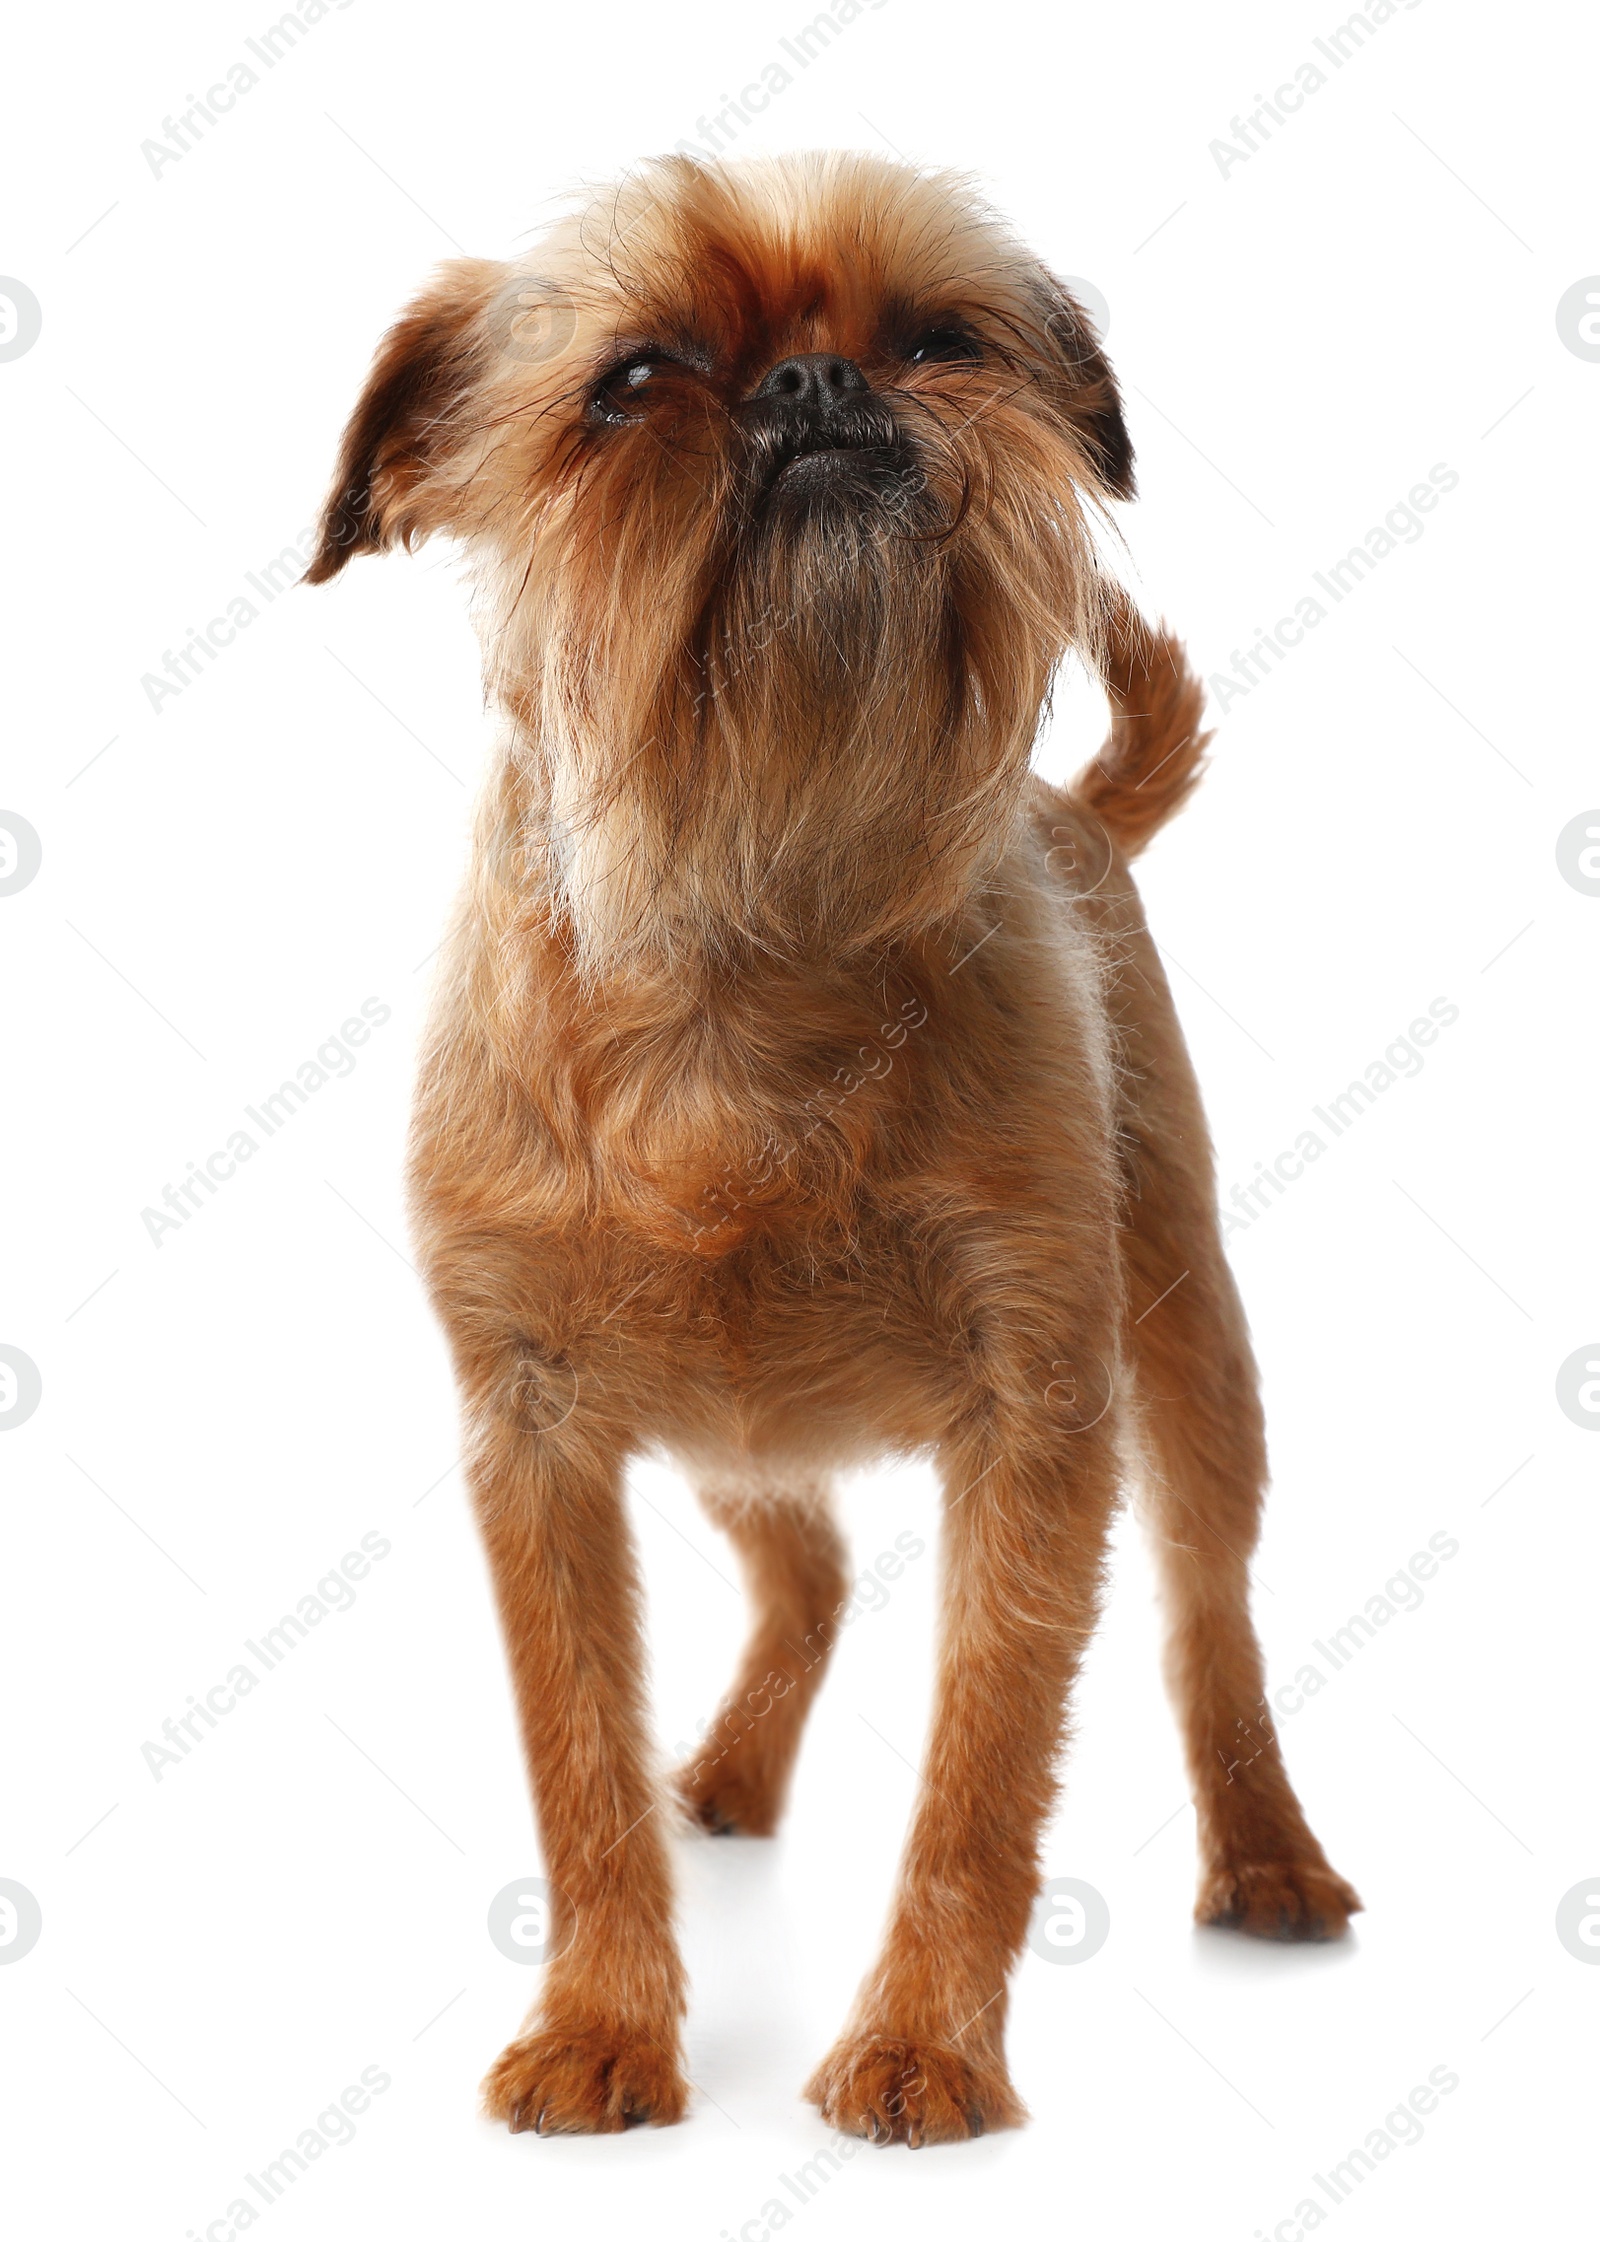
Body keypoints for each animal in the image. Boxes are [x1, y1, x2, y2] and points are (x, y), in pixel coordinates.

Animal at [311, 149, 1362, 2143]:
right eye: (635, 381)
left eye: (941, 338)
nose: (814, 385)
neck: (753, 922)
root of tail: (1073, 812)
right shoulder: (535, 1434)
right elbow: (574, 1761)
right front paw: (605, 2020)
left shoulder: (1041, 1418)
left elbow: (984, 1772)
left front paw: (925, 2044)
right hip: (731, 1421)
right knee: (797, 1568)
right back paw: (722, 1772)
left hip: (1190, 1347)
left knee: (1211, 1613)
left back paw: (1268, 1854)